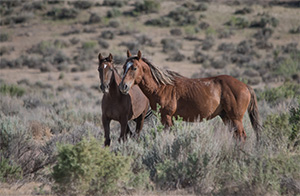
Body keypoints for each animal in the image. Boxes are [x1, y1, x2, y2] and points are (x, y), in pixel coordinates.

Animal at [118, 50, 262, 142]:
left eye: (134, 68)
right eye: (124, 67)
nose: (123, 86)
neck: (162, 87)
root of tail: (245, 86)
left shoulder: (166, 118)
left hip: (236, 119)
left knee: (241, 137)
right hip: (226, 117)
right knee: (236, 137)